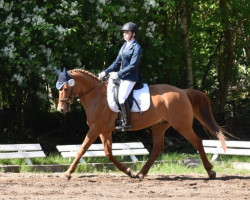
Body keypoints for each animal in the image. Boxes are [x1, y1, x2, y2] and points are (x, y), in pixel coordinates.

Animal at [56, 68, 227, 180]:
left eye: (66, 88)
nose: (61, 109)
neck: (97, 96)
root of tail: (183, 91)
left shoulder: (95, 129)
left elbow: (82, 149)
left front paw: (67, 173)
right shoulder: (104, 131)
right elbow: (108, 153)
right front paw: (128, 172)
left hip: (181, 125)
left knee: (197, 141)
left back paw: (211, 172)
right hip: (160, 125)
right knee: (157, 148)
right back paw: (141, 173)